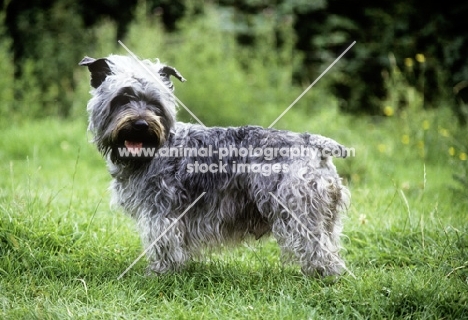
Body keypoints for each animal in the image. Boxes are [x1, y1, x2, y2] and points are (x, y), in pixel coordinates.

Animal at [80, 53, 350, 276]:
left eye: (156, 104)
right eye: (122, 98)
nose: (140, 124)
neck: (157, 148)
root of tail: (313, 143)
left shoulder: (162, 214)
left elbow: (164, 246)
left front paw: (159, 274)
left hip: (299, 216)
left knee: (321, 253)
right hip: (325, 220)